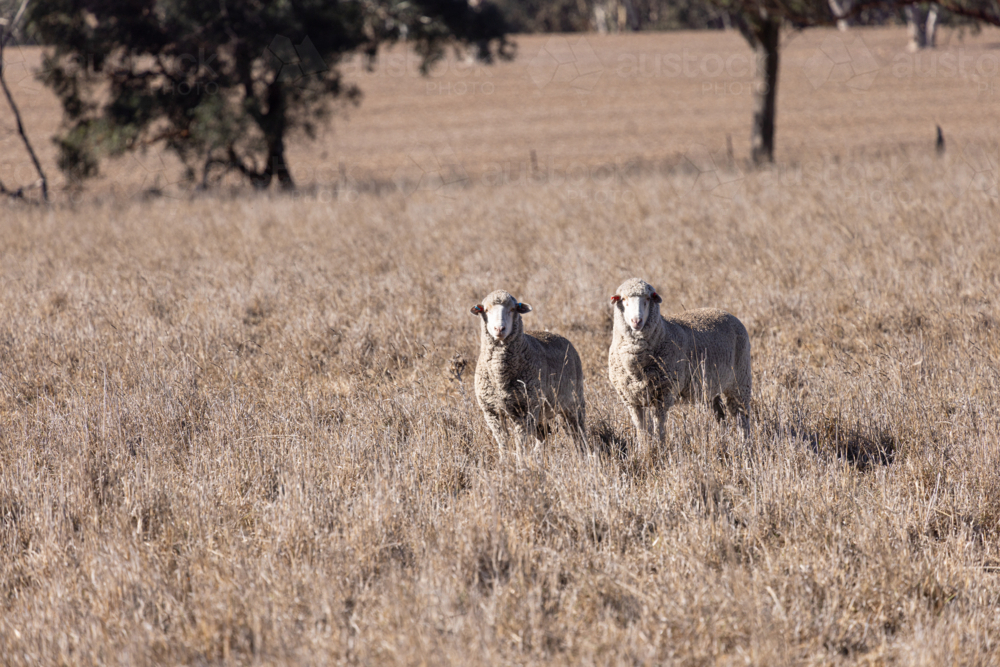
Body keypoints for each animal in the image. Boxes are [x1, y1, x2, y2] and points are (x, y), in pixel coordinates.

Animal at [470, 290, 586, 455]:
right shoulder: (492, 411)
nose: (499, 329)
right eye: (486, 310)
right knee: (545, 435)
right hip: (541, 411)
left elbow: (521, 444)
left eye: (513, 309)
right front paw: (506, 460)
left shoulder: (526, 410)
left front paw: (521, 461)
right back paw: (538, 456)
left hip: (573, 402)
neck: (500, 377)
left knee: (578, 433)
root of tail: (558, 335)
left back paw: (584, 454)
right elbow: (503, 443)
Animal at [608, 278, 751, 450]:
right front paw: (644, 450)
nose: (637, 321)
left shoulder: (663, 395)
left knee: (741, 415)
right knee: (720, 414)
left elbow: (659, 428)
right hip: (711, 386)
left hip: (740, 379)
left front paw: (659, 449)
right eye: (623, 299)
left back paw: (745, 444)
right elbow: (642, 430)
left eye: (648, 299)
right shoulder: (632, 400)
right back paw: (723, 439)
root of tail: (727, 313)